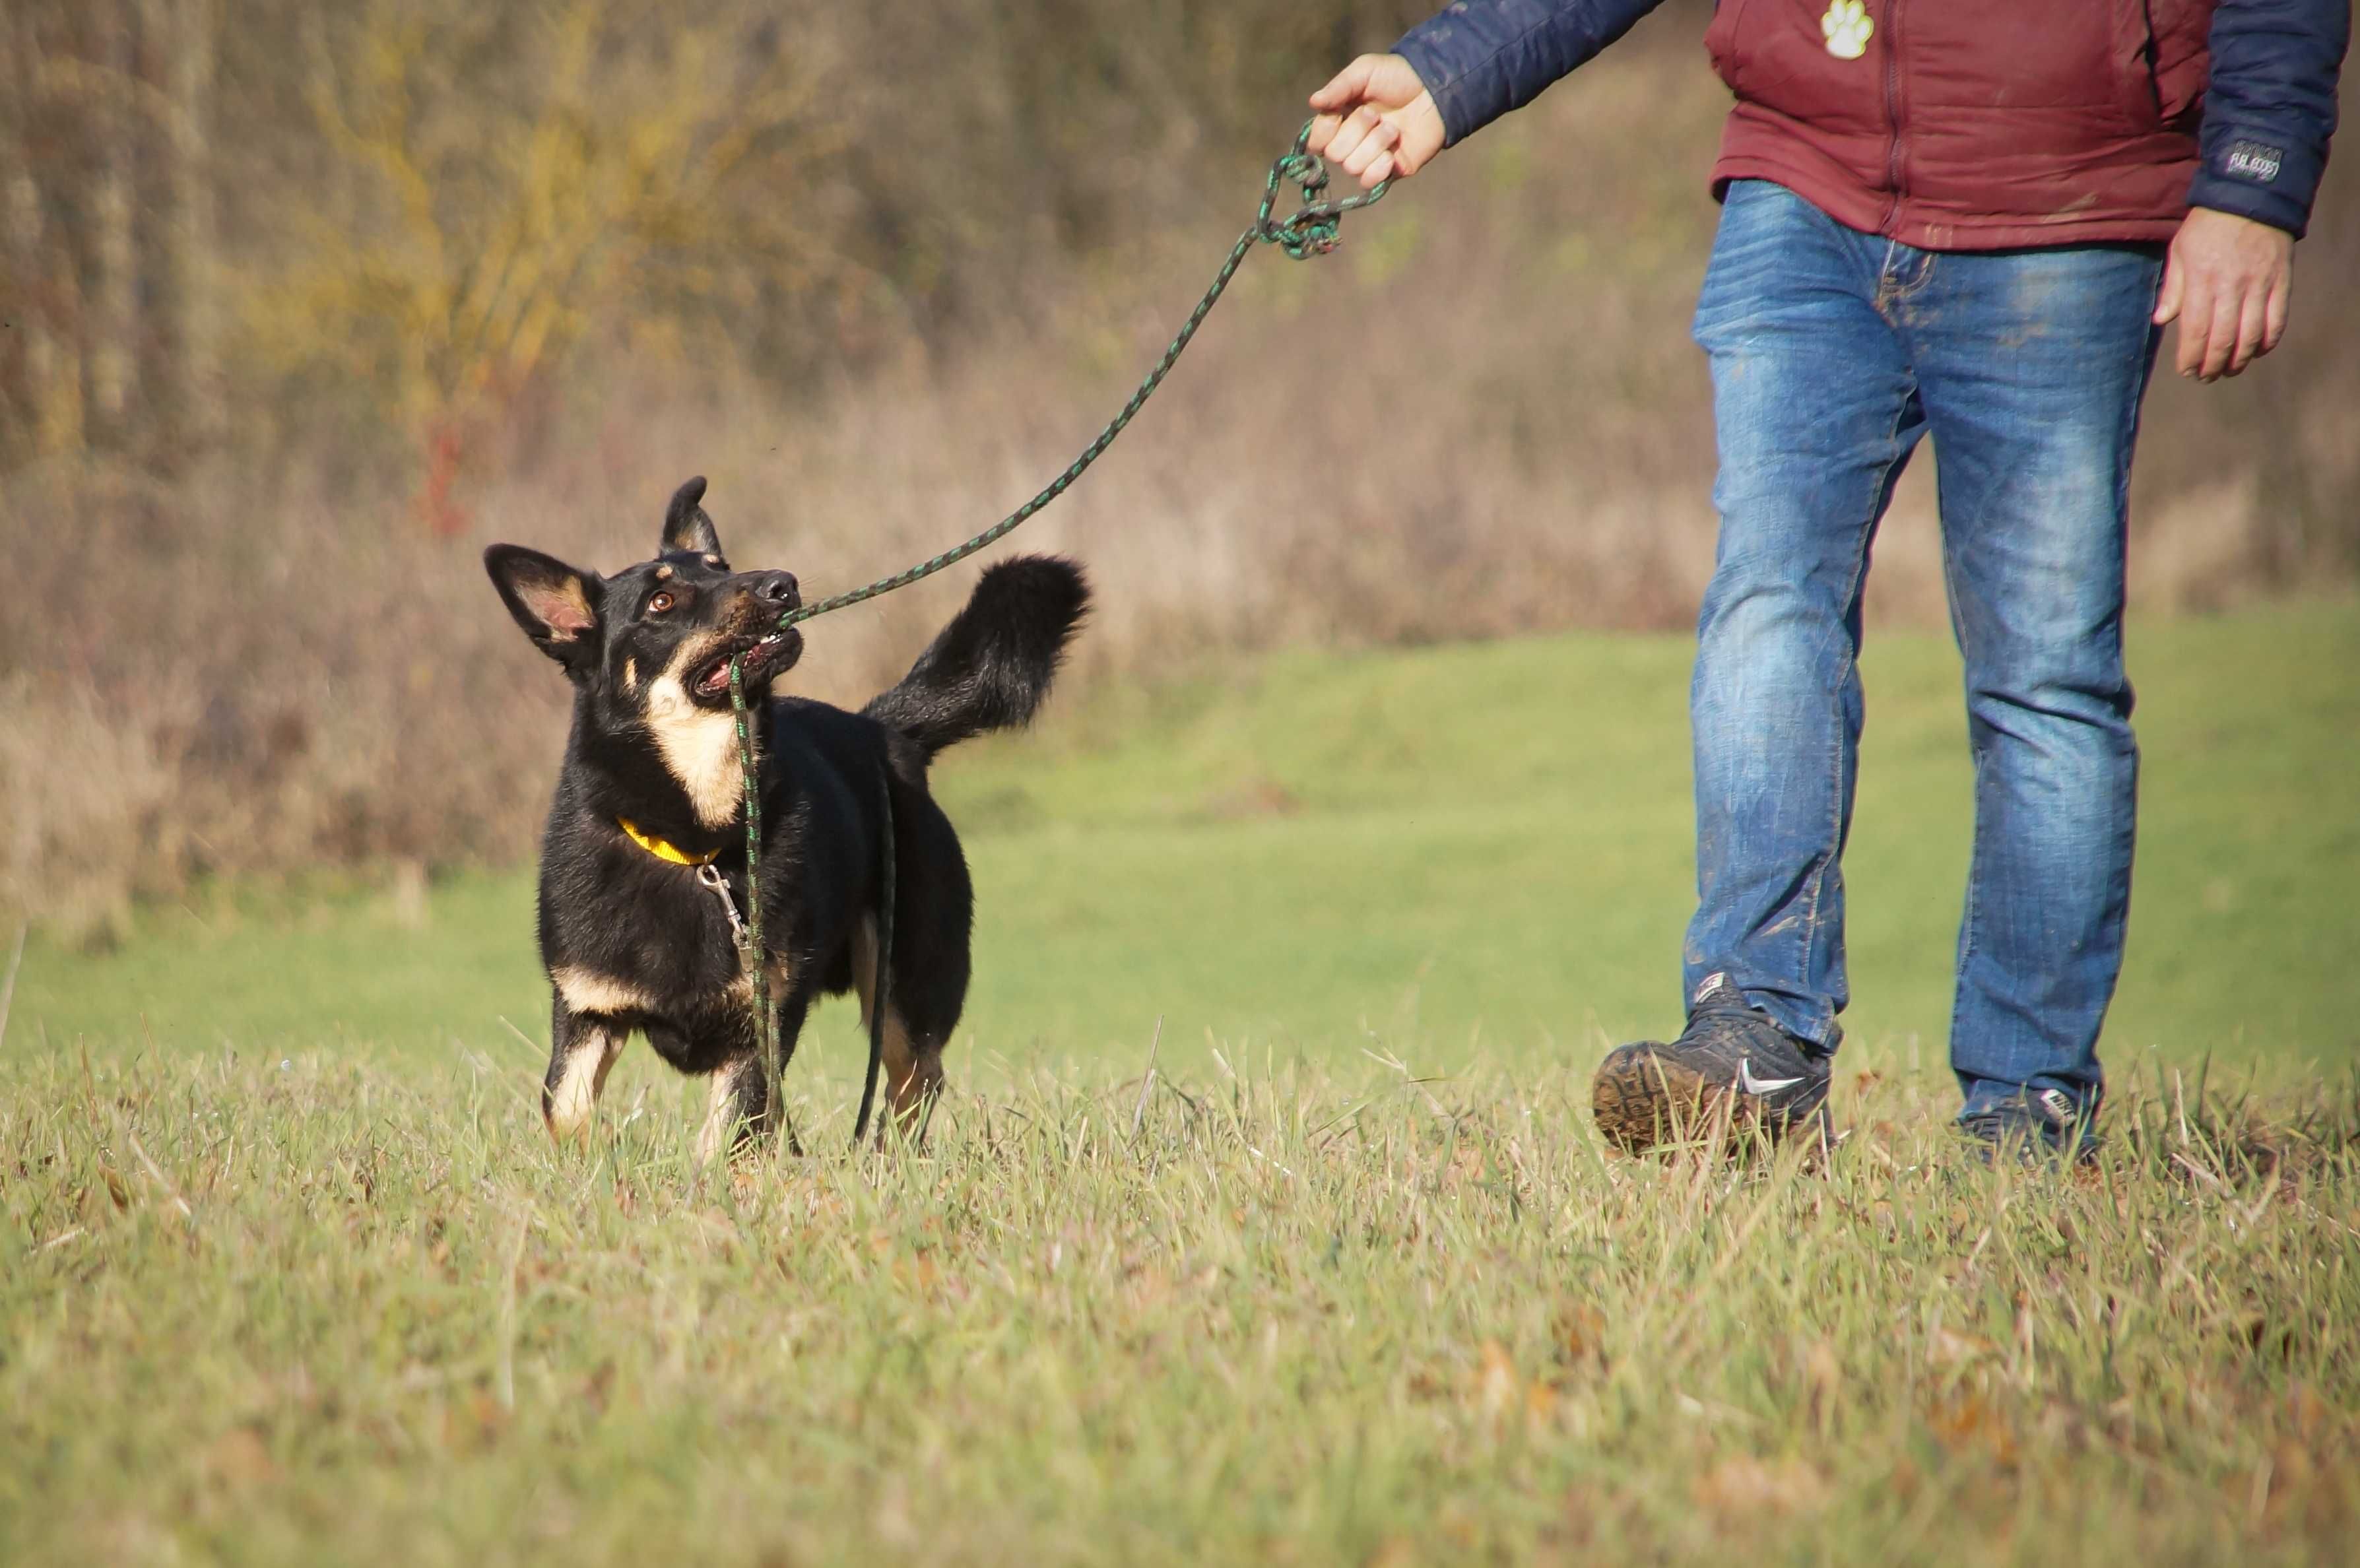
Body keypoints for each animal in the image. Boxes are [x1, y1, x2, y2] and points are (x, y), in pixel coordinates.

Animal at [490, 474, 1095, 1152]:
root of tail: (883, 729)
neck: (697, 843)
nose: (783, 583)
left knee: (914, 1083)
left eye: (722, 568)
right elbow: (565, 1111)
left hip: (905, 983)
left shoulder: (762, 1021)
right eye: (662, 601)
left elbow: (726, 1133)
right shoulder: (585, 1012)